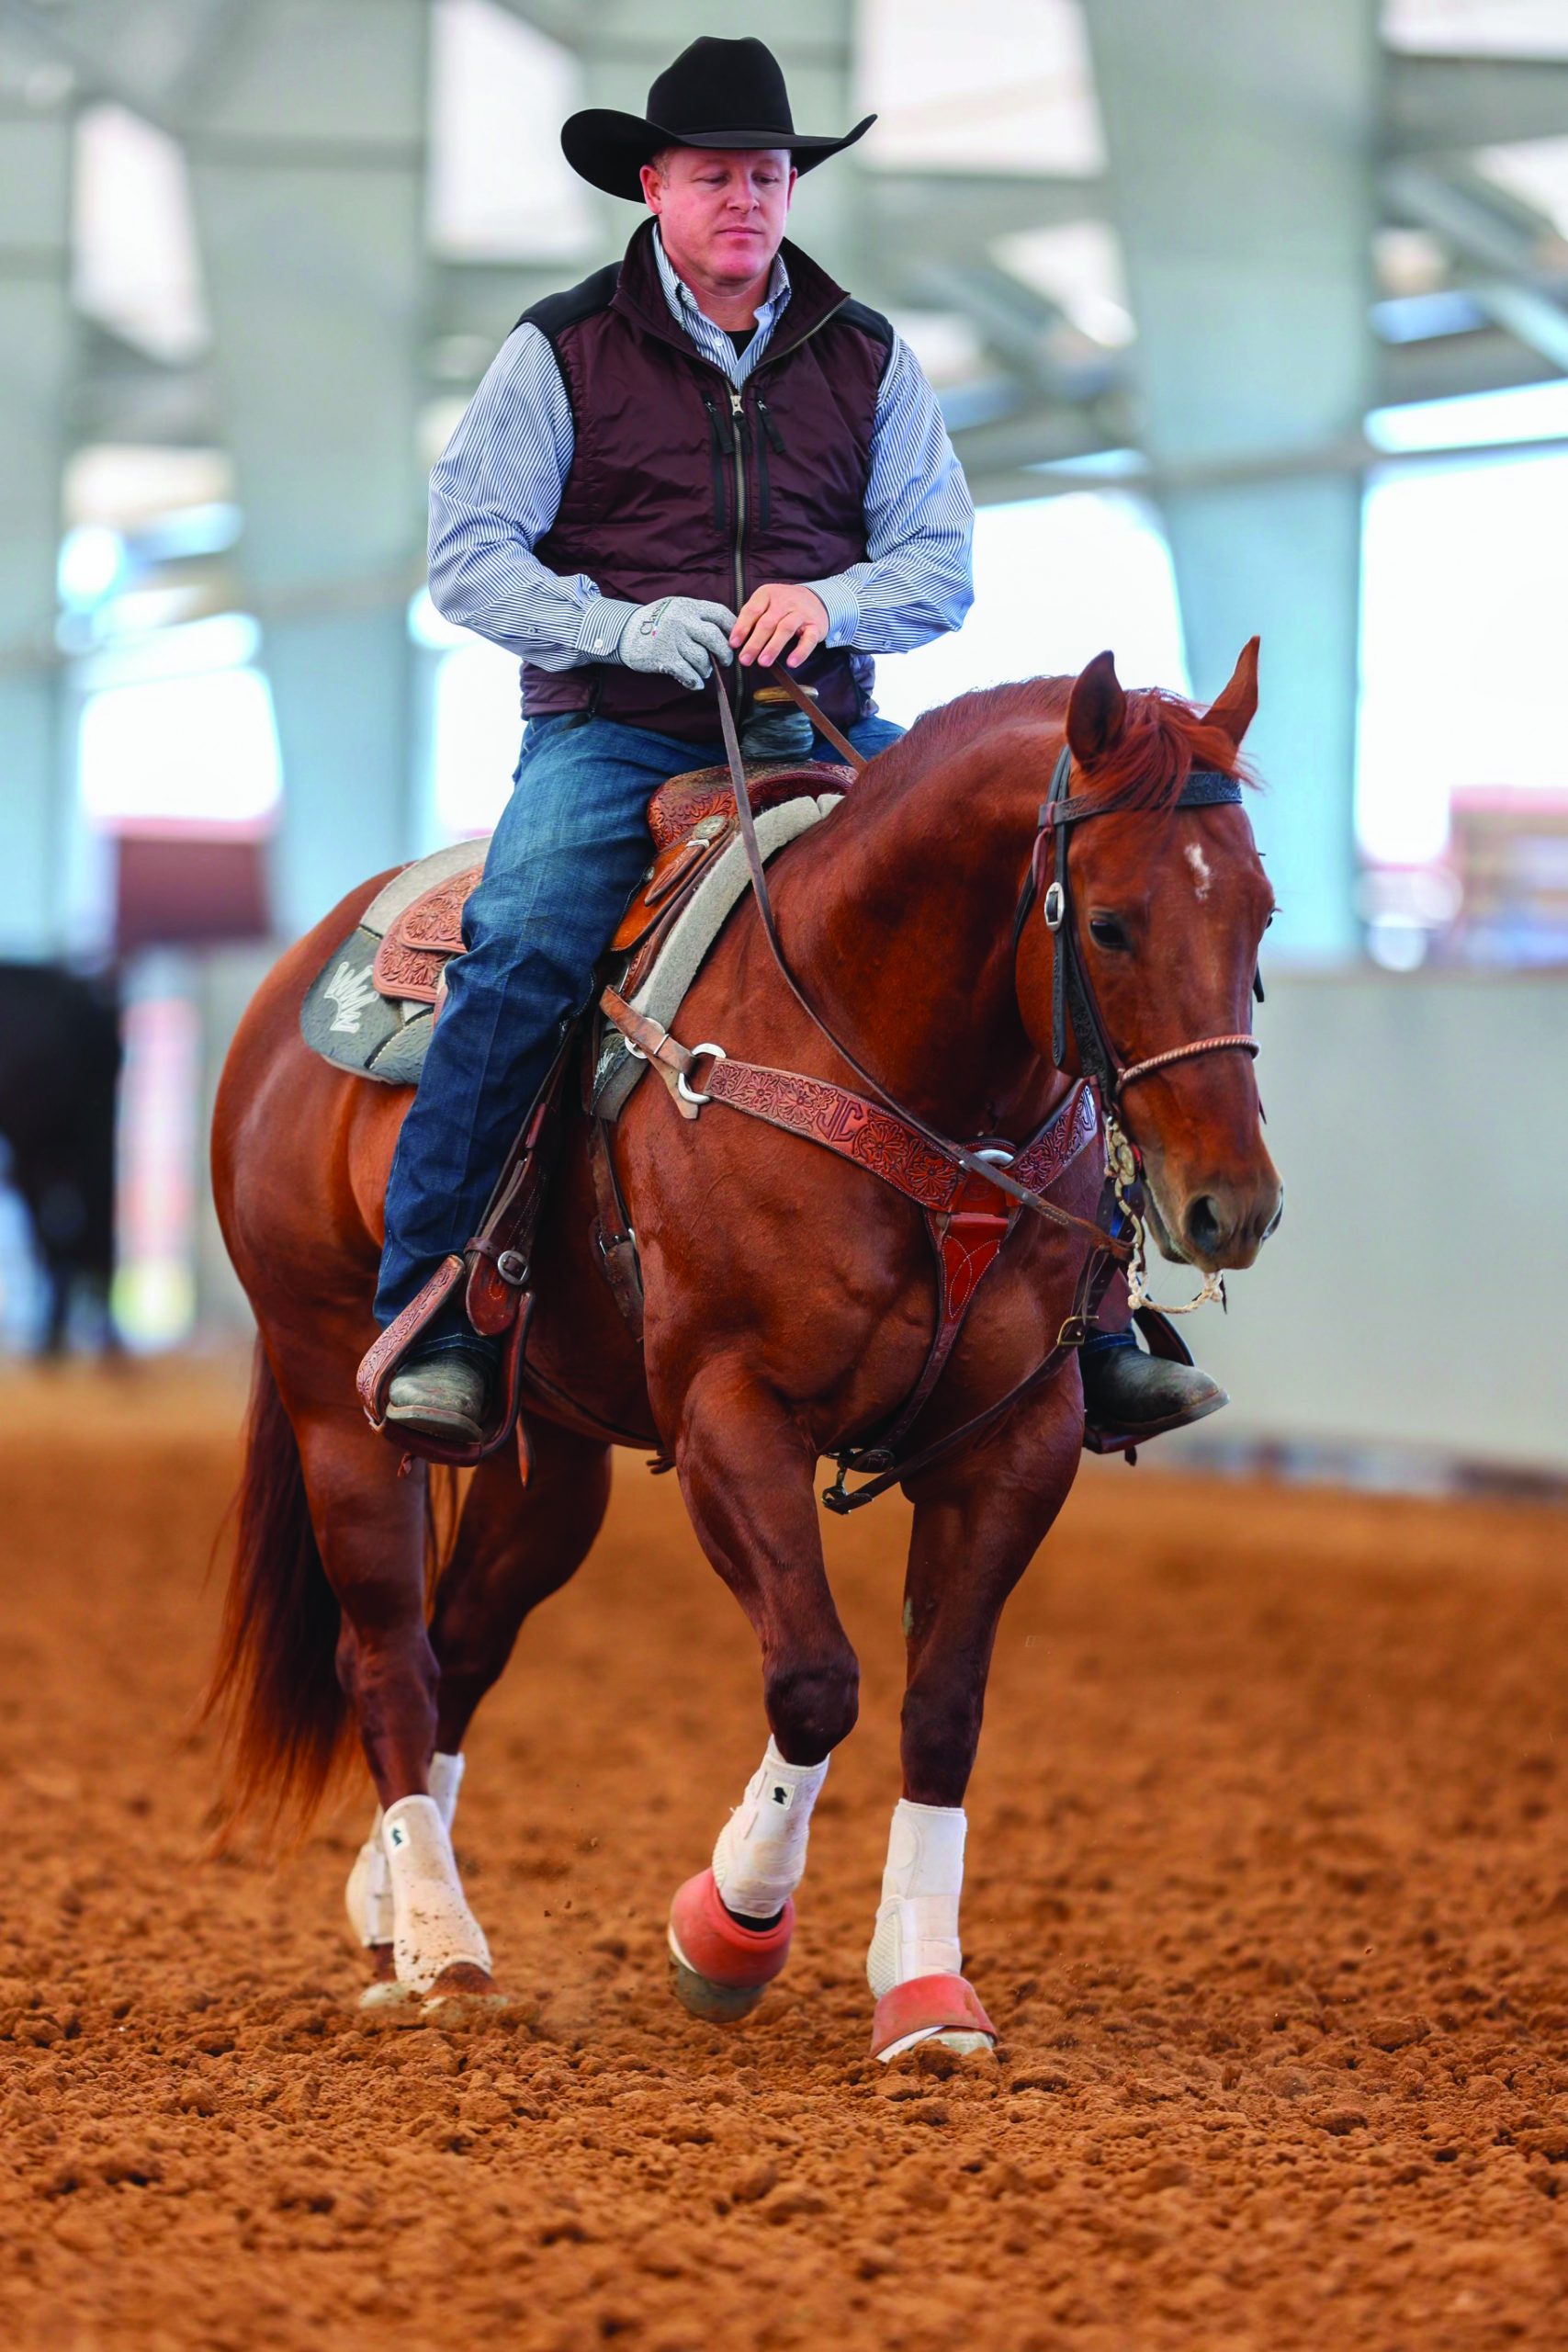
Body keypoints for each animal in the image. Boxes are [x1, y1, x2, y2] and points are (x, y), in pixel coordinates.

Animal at [208, 649, 1279, 2060]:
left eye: (1259, 917)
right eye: (1105, 924)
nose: (1231, 1207)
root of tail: (284, 989)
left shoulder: (1017, 1440)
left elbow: (943, 1708)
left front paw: (926, 1993)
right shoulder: (732, 1413)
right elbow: (816, 1680)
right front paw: (725, 1930)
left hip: (552, 1455)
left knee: (462, 1643)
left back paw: (389, 1905)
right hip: (337, 1393)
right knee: (386, 1651)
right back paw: (445, 1951)